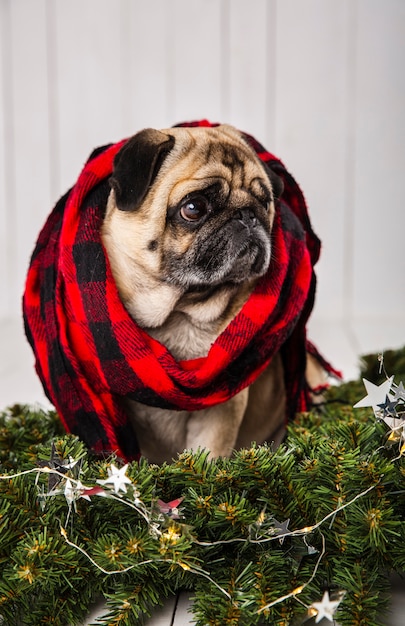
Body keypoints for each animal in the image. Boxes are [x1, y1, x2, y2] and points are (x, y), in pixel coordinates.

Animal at [102, 123, 322, 464]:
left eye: (265, 202)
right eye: (193, 208)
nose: (247, 215)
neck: (178, 313)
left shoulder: (220, 412)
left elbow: (207, 456)